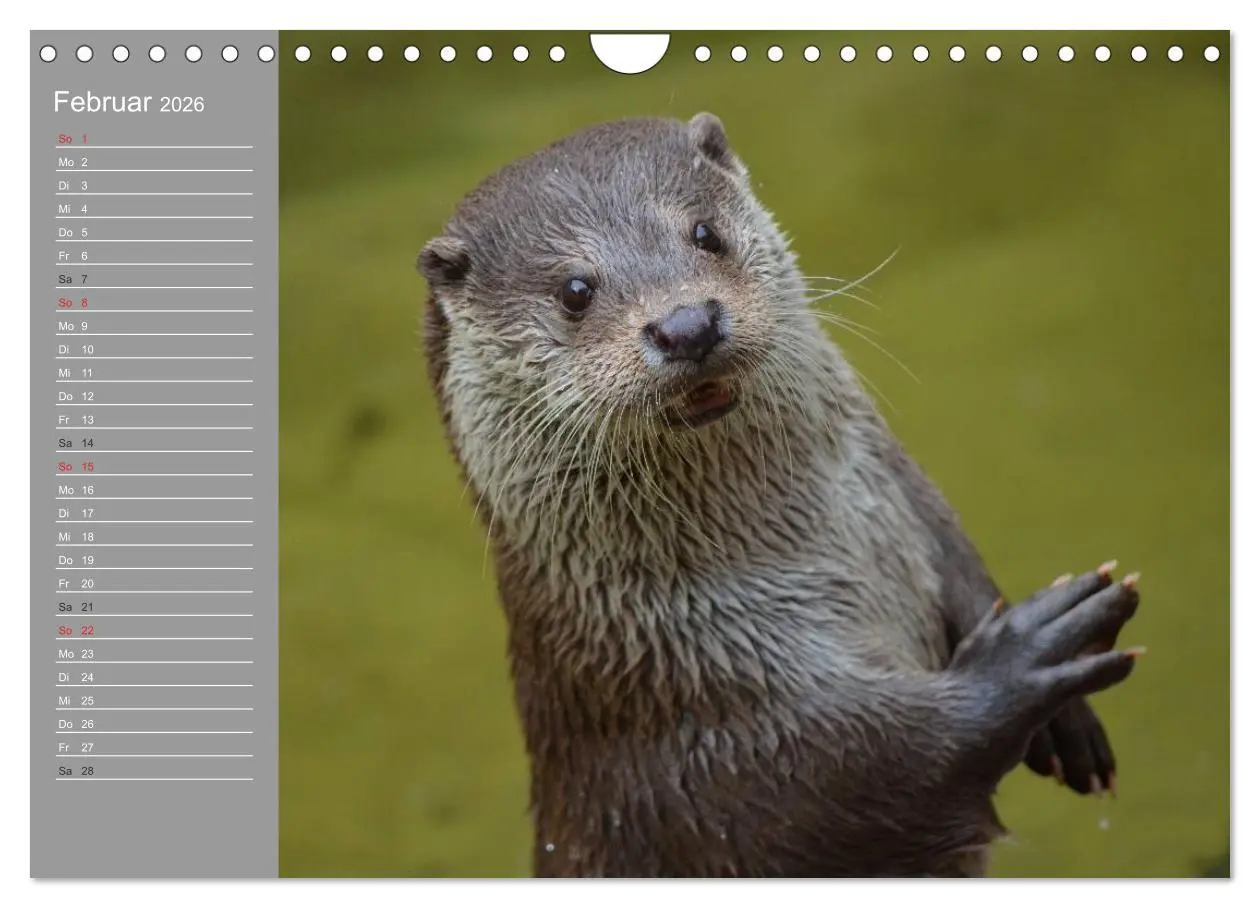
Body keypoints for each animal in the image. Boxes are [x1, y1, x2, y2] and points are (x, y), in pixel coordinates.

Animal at [416, 113, 1142, 878]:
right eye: (575, 290)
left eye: (705, 233)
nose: (686, 324)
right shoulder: (711, 744)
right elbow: (865, 777)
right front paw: (1027, 658)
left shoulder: (908, 500)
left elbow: (961, 561)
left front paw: (1068, 722)